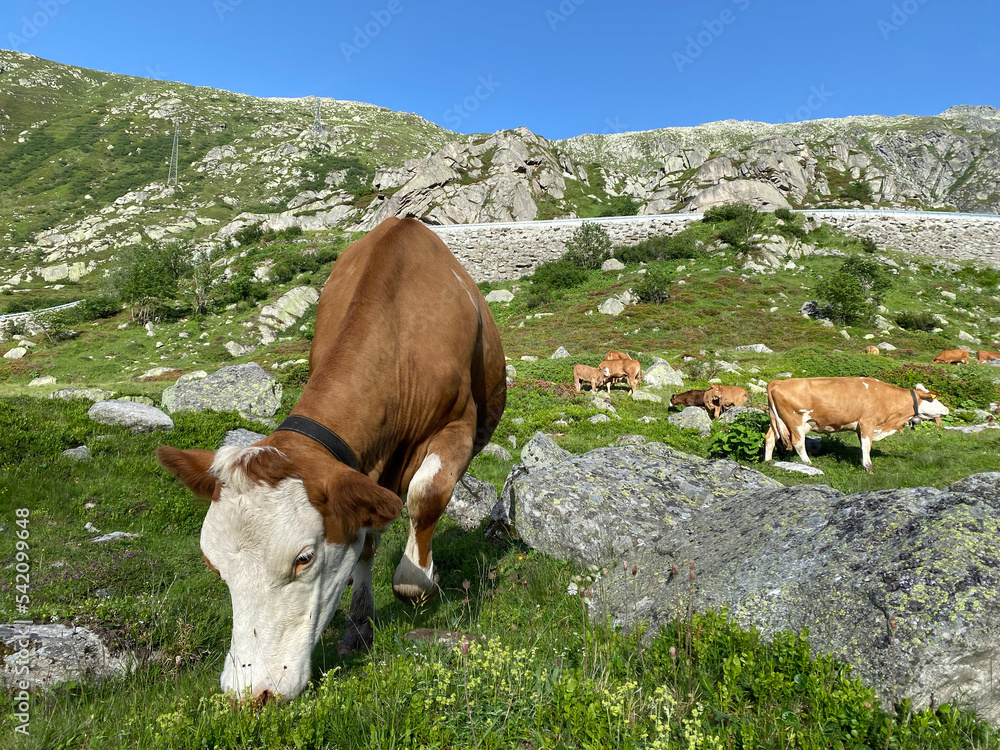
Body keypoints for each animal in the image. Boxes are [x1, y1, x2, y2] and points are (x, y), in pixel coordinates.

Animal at [156, 218, 506, 704]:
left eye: (303, 558)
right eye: (215, 565)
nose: (249, 693)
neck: (400, 336)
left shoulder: (458, 423)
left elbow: (427, 495)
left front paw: (417, 581)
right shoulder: (363, 472)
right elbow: (366, 538)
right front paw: (359, 626)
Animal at [763, 377, 949, 474]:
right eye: (932, 399)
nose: (946, 409)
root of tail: (777, 382)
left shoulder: (861, 427)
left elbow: (862, 445)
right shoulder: (868, 422)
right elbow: (867, 446)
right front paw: (868, 468)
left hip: (778, 421)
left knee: (770, 438)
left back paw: (768, 461)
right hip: (795, 421)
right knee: (798, 442)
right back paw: (809, 464)